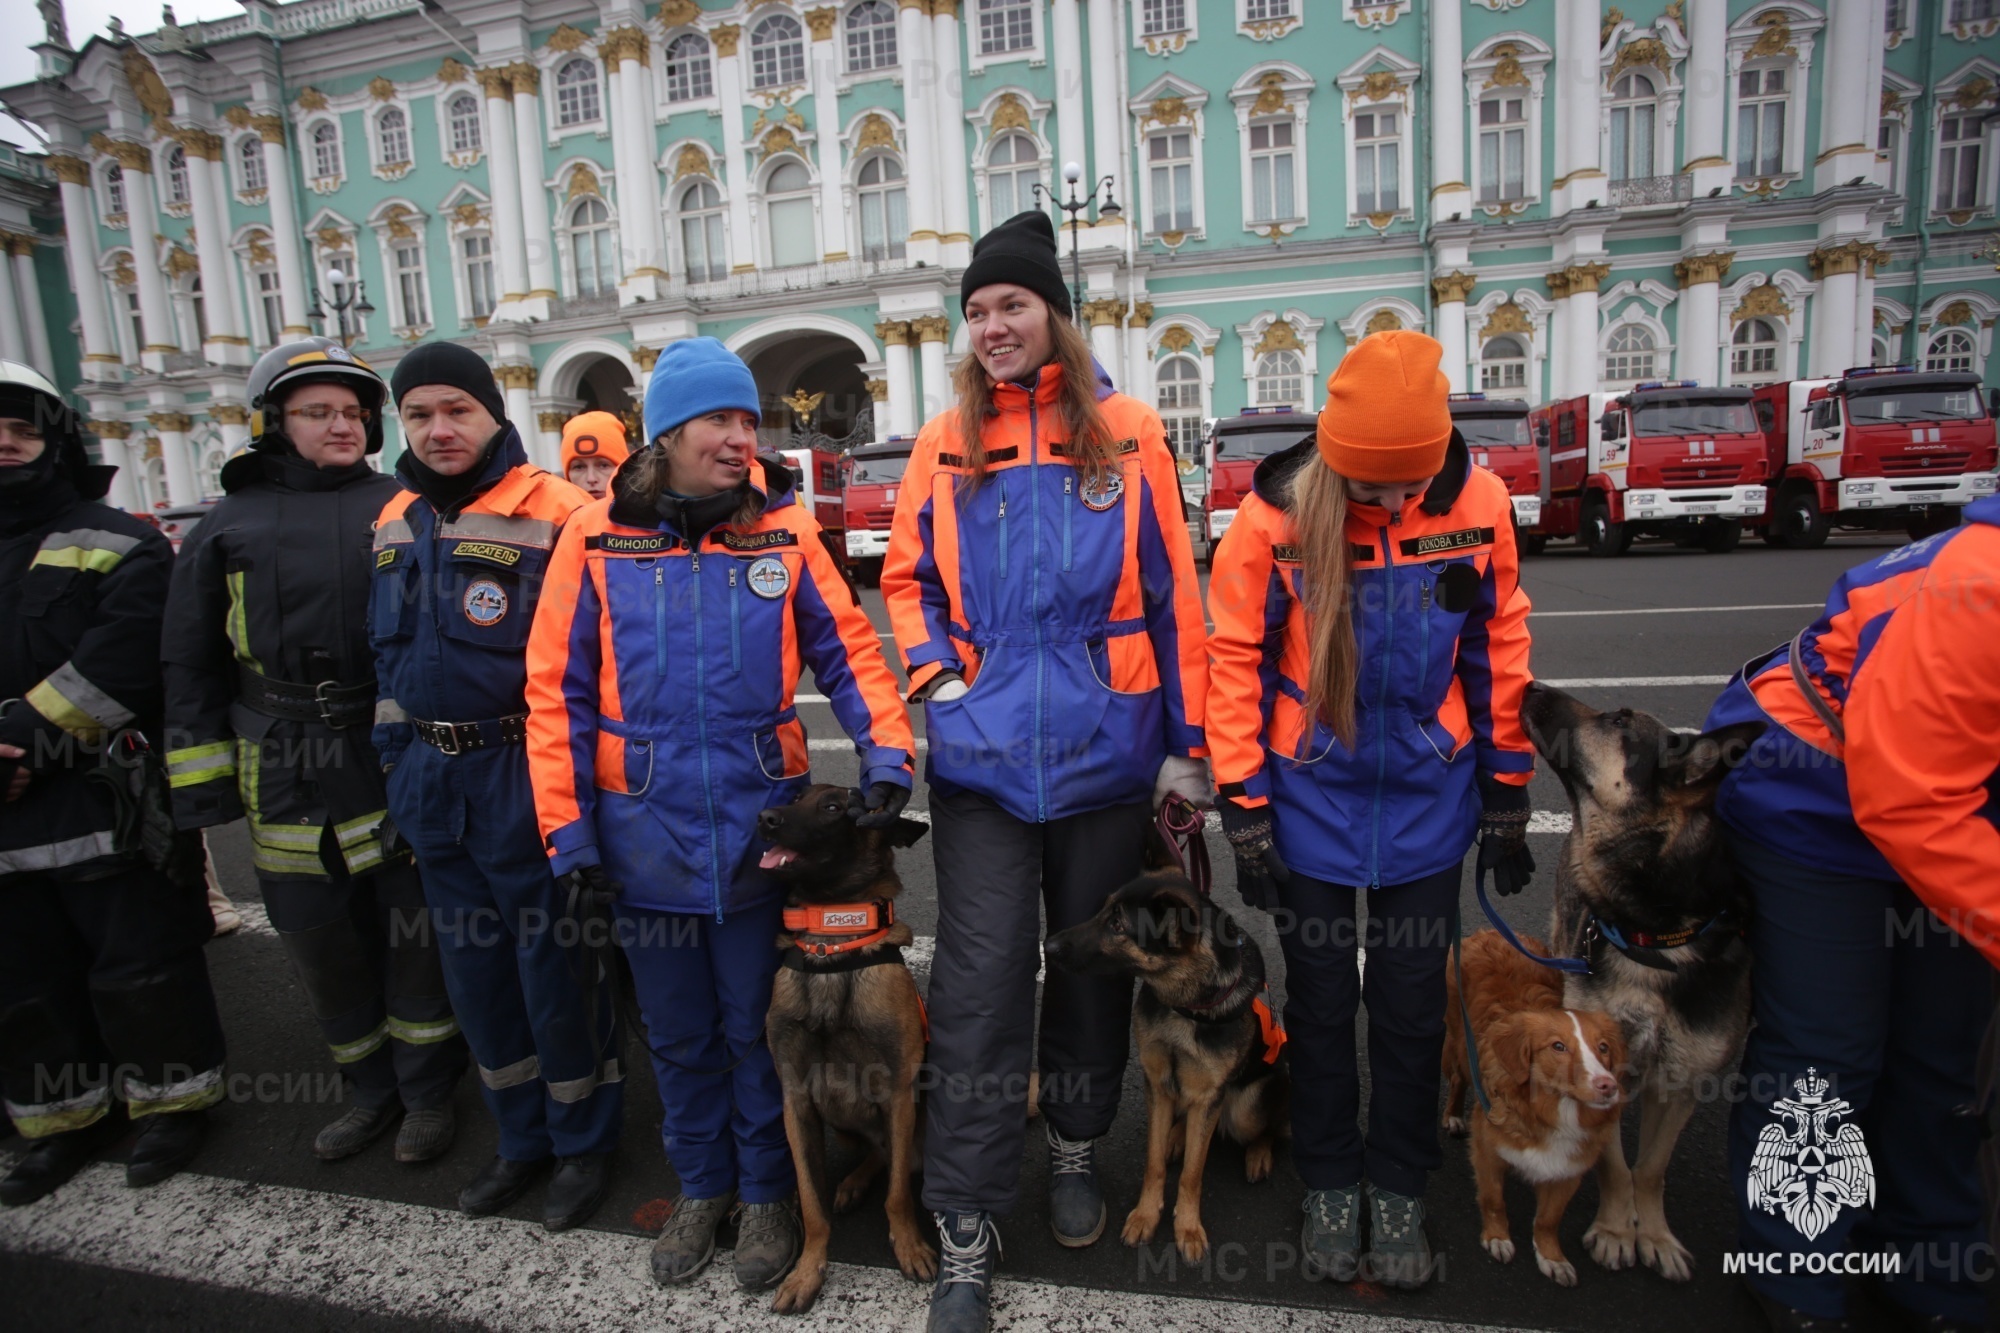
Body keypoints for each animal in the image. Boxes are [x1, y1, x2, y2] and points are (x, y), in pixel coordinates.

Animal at [752, 780, 932, 1304]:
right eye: (795, 796)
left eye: (834, 807)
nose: (765, 818)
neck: (830, 940)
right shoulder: (796, 1102)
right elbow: (811, 1202)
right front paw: (807, 1270)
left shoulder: (898, 1095)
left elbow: (897, 1195)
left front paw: (908, 1244)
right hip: (845, 1125)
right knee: (877, 1154)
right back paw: (853, 1182)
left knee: (895, 1160)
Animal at [1040, 868, 1288, 1264]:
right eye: (1103, 910)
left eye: (1117, 924)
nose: (1048, 946)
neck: (1185, 1004)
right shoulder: (1156, 1082)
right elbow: (1154, 1161)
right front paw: (1145, 1215)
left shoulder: (1208, 1095)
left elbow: (1193, 1172)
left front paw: (1187, 1228)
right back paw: (1176, 1137)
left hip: (1248, 1107)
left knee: (1269, 1129)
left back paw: (1258, 1154)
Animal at [1448, 924, 1632, 1280]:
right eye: (1557, 1047)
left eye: (1603, 1048)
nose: (1607, 1086)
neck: (1552, 1110)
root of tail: (1489, 932)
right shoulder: (1487, 1148)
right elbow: (1493, 1199)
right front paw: (1497, 1237)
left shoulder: (1570, 1166)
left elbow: (1549, 1219)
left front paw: (1553, 1258)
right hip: (1458, 1044)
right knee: (1458, 1078)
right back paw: (1451, 1115)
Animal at [1520, 684, 1760, 1280]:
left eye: (1619, 722)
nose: (1530, 686)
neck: (1654, 937)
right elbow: (1614, 1165)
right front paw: (1614, 1230)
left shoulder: (1683, 1078)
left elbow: (1650, 1167)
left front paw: (1652, 1234)